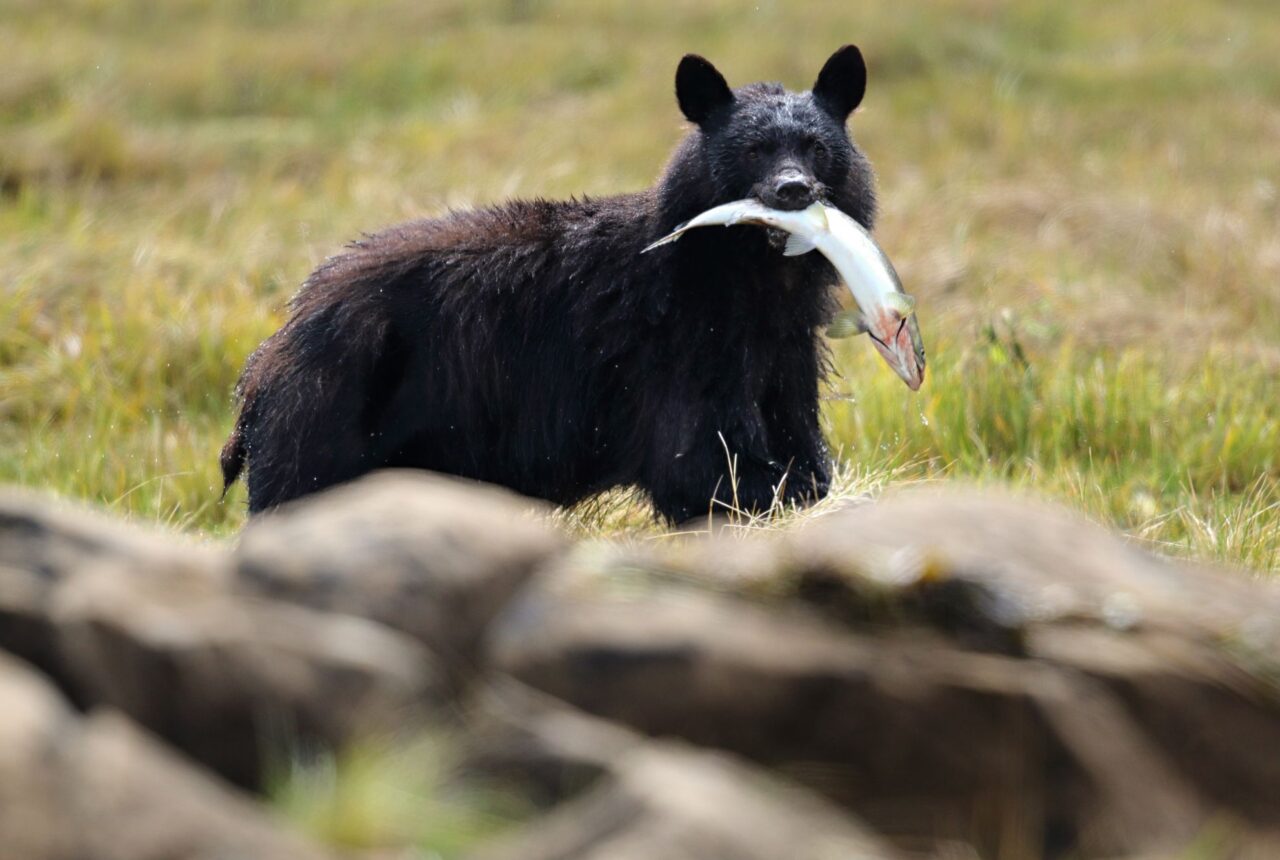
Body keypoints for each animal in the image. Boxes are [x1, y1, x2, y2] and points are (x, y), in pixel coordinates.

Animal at [221, 45, 877, 523]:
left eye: (816, 147)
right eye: (752, 150)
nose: (792, 190)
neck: (755, 282)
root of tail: (275, 345)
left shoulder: (783, 350)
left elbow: (796, 440)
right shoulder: (682, 348)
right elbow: (703, 464)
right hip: (331, 405)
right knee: (298, 493)